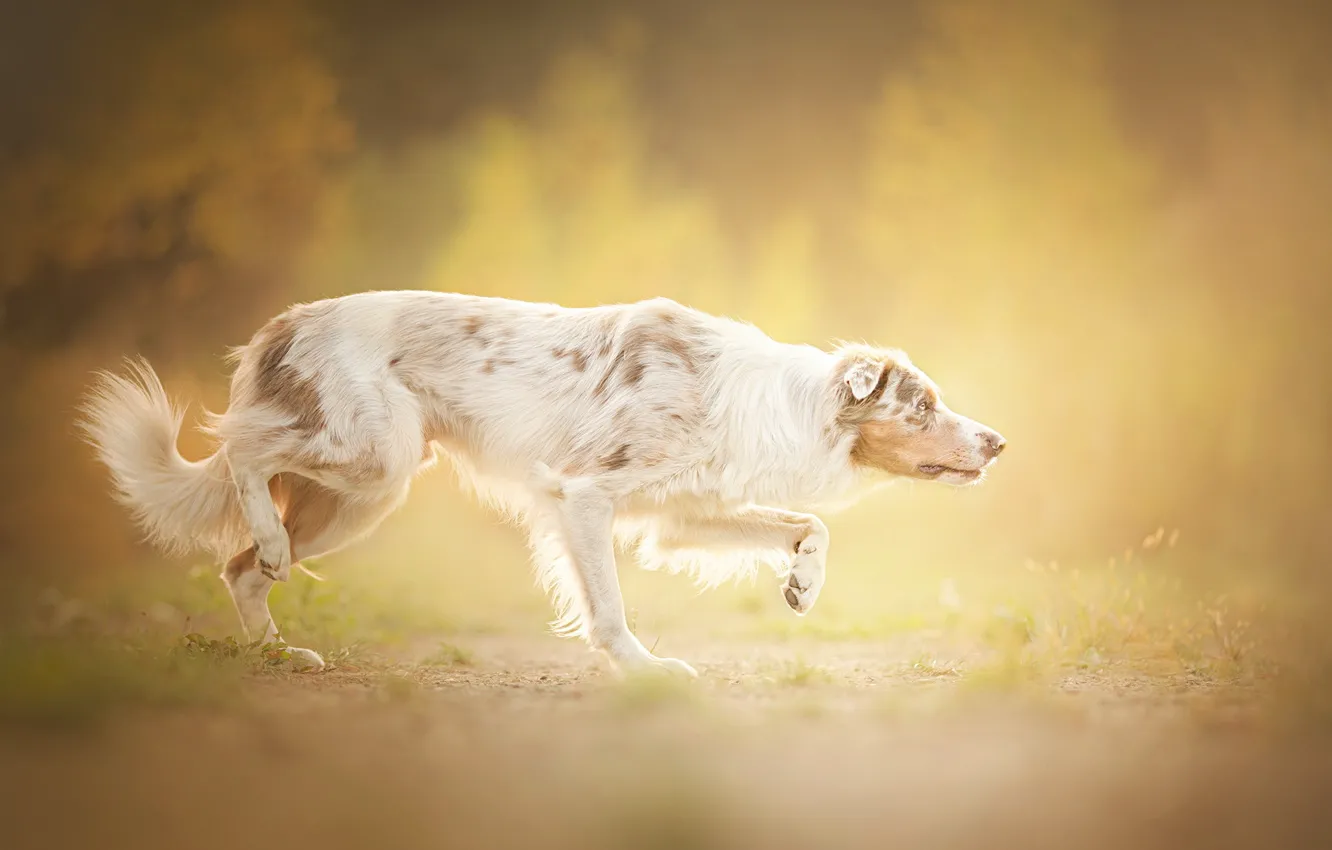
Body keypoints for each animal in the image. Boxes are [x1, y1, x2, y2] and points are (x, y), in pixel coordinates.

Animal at [80, 293, 1001, 679]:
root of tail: (283, 321)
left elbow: (809, 523)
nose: (998, 442)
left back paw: (275, 652)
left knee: (238, 566)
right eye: (924, 406)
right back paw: (267, 544)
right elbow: (610, 609)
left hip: (361, 495)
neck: (777, 403)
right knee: (238, 450)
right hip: (371, 455)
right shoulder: (586, 497)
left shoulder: (678, 515)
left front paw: (803, 582)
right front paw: (643, 669)